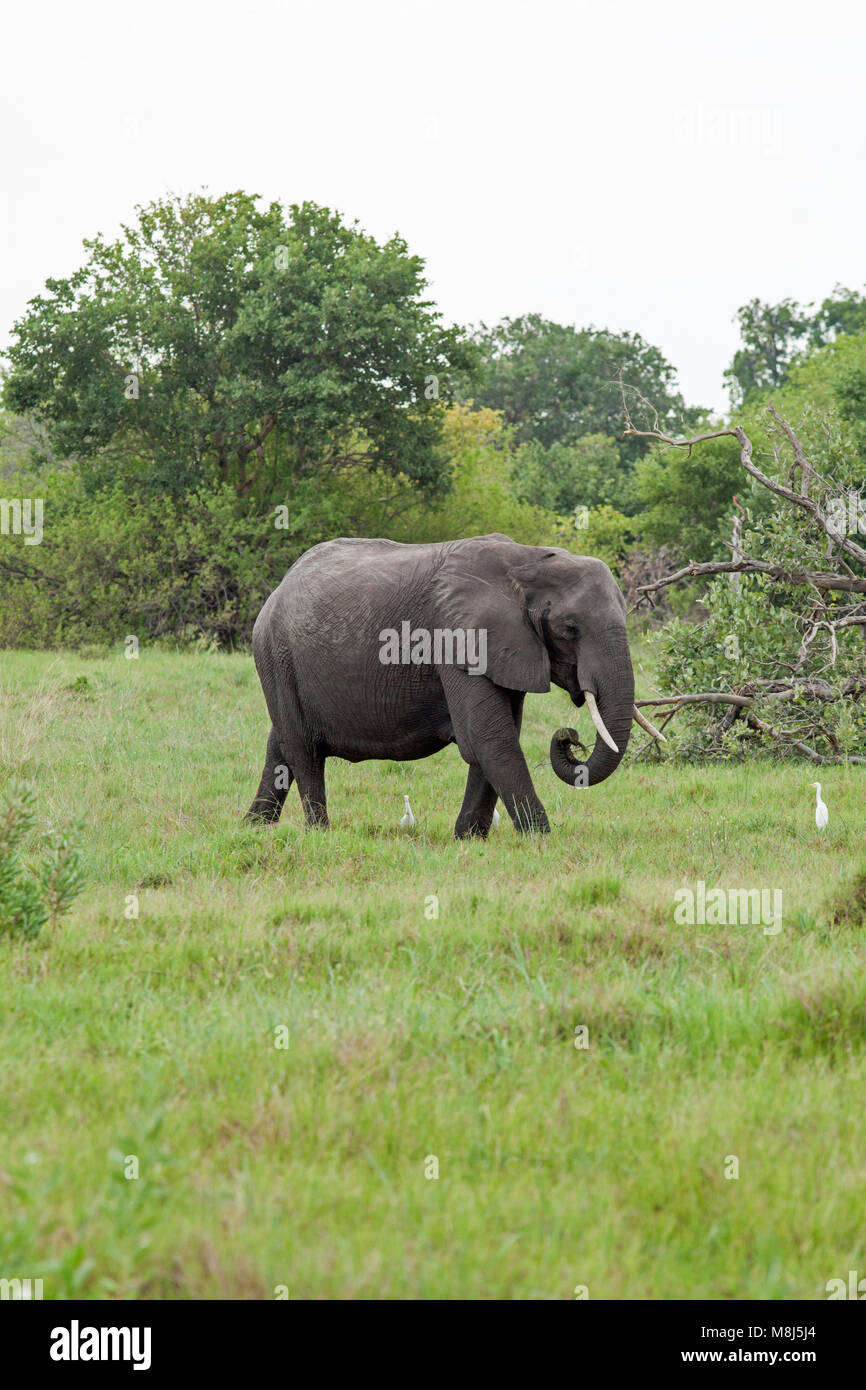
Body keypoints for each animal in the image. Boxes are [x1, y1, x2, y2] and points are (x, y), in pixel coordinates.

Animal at [240, 530, 661, 834]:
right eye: (570, 629)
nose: (570, 737)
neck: (527, 560)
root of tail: (280, 586)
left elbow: (495, 736)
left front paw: (468, 839)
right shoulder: (458, 638)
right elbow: (489, 738)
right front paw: (541, 838)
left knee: (280, 742)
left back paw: (253, 828)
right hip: (275, 654)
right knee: (303, 749)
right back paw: (319, 832)